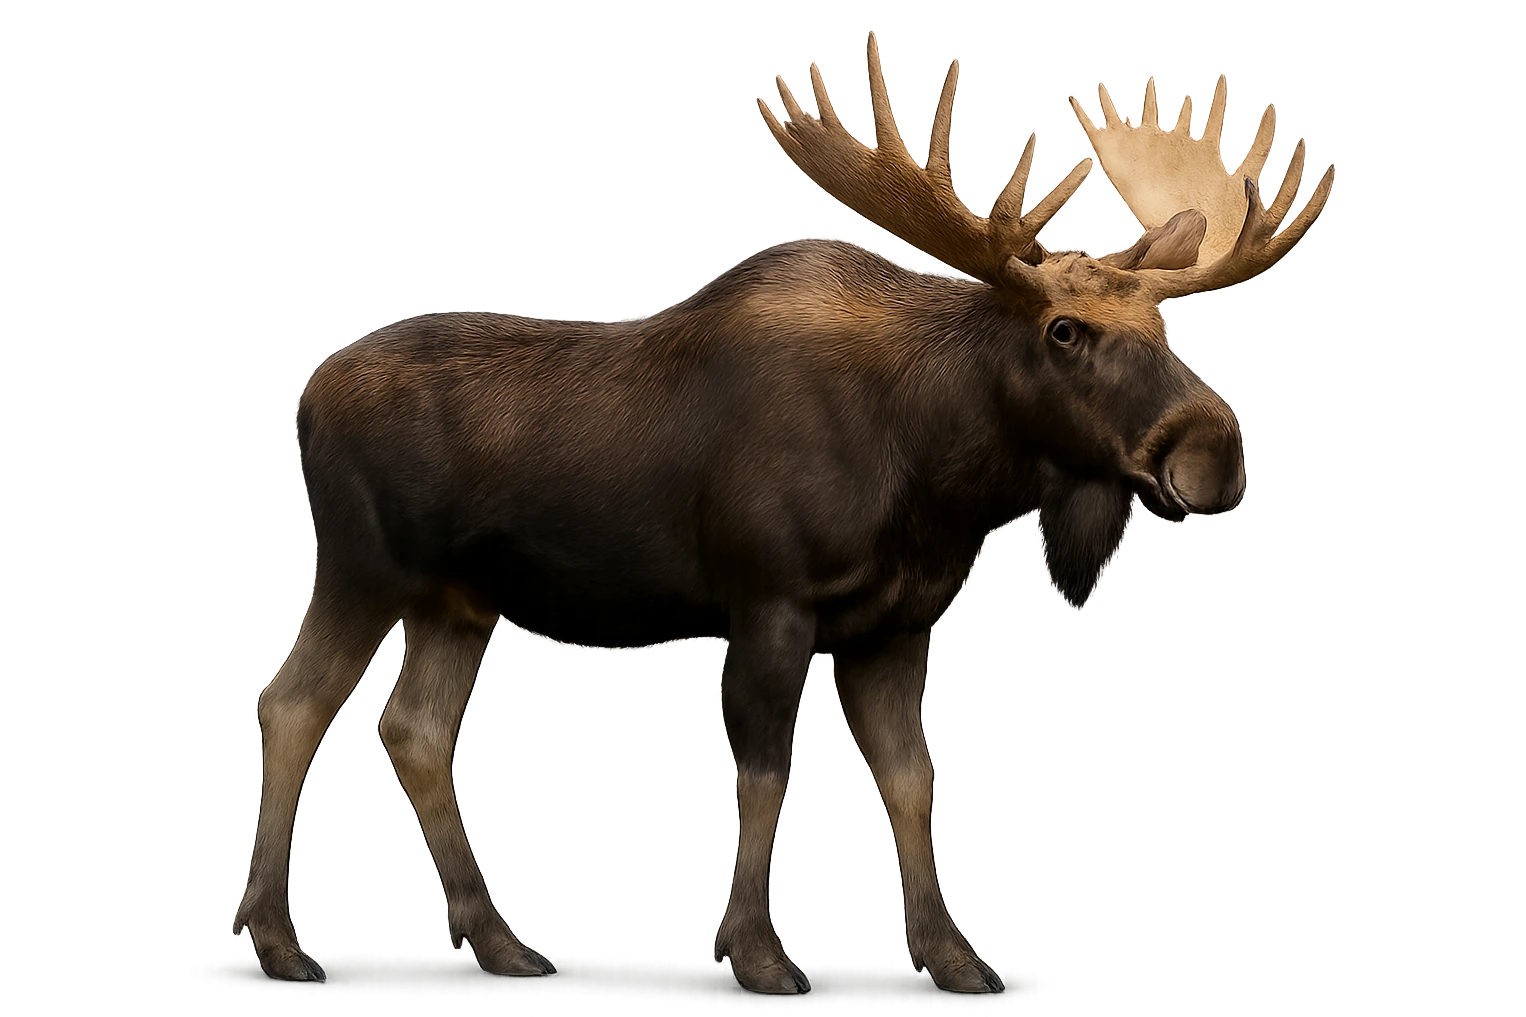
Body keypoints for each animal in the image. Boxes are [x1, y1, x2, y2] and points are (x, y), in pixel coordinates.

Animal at [231, 32, 1334, 995]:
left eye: (1170, 325)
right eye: (1064, 330)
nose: (1214, 454)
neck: (939, 476)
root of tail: (304, 399)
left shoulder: (895, 626)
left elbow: (913, 780)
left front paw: (953, 959)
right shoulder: (769, 599)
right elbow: (766, 773)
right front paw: (758, 953)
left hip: (457, 601)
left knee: (412, 728)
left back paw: (499, 939)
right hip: (360, 569)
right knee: (291, 702)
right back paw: (279, 941)